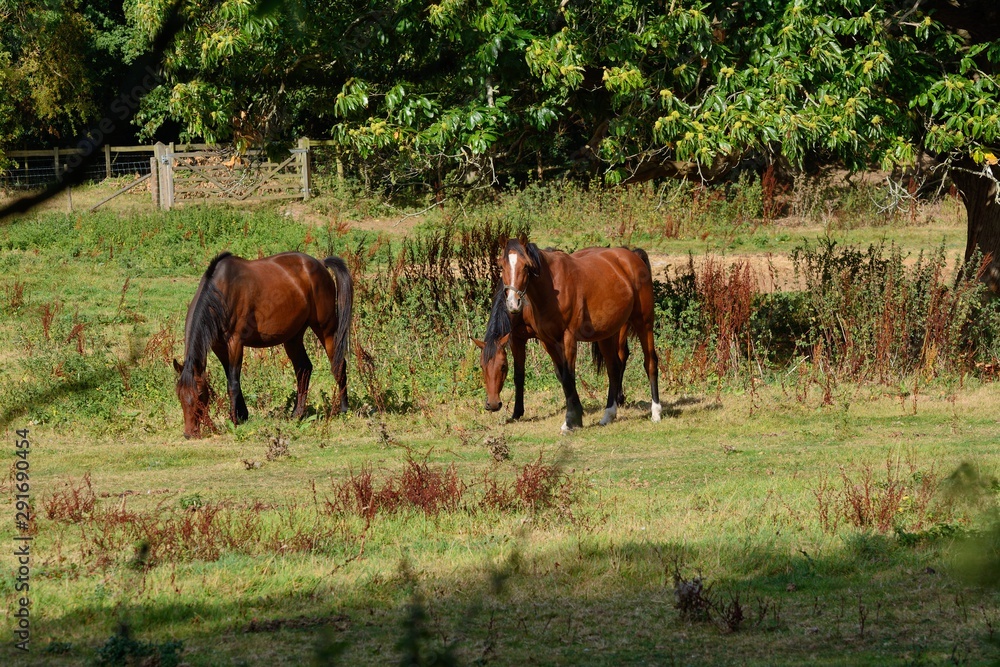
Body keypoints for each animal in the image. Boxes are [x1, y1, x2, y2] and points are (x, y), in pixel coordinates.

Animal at [174, 250, 354, 438]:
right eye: (179, 395)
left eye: (200, 394)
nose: (189, 433)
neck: (222, 292)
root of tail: (320, 263)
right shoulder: (219, 346)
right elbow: (230, 378)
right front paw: (242, 415)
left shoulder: (235, 342)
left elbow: (233, 383)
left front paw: (235, 420)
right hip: (293, 337)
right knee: (303, 368)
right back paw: (297, 413)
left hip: (326, 329)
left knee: (338, 365)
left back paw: (343, 409)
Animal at [488, 241, 660, 434]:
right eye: (501, 266)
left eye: (526, 266)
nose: (513, 303)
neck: (551, 285)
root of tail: (632, 257)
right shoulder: (548, 342)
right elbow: (563, 376)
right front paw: (576, 416)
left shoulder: (568, 338)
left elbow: (568, 375)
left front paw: (570, 421)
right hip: (607, 334)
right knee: (614, 368)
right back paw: (608, 414)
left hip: (643, 324)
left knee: (650, 362)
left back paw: (656, 412)